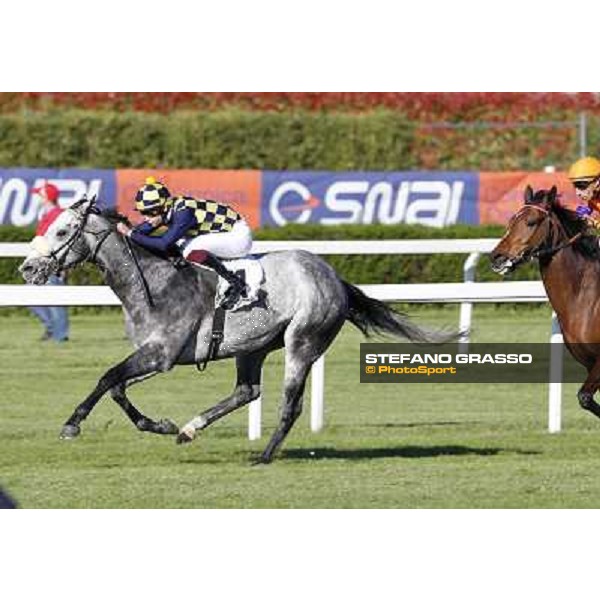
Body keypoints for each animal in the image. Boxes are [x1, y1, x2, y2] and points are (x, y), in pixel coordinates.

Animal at [16, 197, 452, 464]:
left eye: (61, 231)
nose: (26, 269)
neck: (153, 282)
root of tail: (334, 277)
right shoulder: (155, 355)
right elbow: (118, 387)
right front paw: (160, 425)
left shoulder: (162, 354)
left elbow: (107, 377)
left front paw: (72, 423)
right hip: (252, 347)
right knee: (247, 390)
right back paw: (189, 429)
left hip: (302, 341)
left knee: (289, 405)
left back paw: (264, 455)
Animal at [490, 185, 600, 420]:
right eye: (511, 220)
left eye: (531, 222)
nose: (497, 257)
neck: (586, 298)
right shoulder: (589, 363)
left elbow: (585, 397)